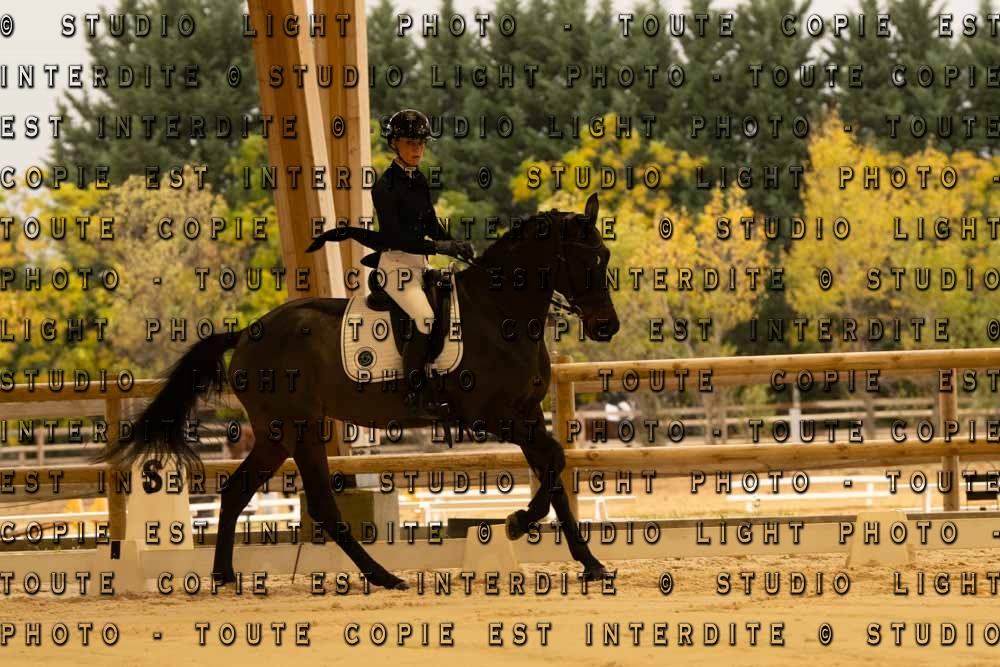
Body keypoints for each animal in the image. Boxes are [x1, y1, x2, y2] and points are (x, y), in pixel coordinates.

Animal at [96, 192, 621, 590]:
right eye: (583, 258)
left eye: (606, 257)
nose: (607, 327)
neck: (500, 313)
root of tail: (248, 331)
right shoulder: (493, 416)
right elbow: (553, 463)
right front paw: (515, 522)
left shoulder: (527, 413)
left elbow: (554, 470)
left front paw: (590, 563)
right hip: (300, 428)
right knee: (323, 506)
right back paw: (383, 575)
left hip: (277, 435)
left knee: (236, 491)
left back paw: (225, 575)